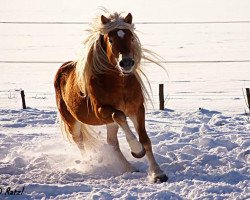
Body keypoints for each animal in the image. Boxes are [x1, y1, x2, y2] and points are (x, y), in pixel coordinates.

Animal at [54, 11, 168, 183]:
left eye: (131, 38)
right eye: (111, 39)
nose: (126, 63)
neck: (119, 84)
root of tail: (62, 69)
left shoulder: (137, 110)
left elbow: (145, 140)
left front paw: (158, 173)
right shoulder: (101, 110)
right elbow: (119, 115)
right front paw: (136, 150)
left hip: (109, 124)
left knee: (112, 143)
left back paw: (130, 168)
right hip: (72, 122)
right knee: (80, 142)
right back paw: (89, 163)